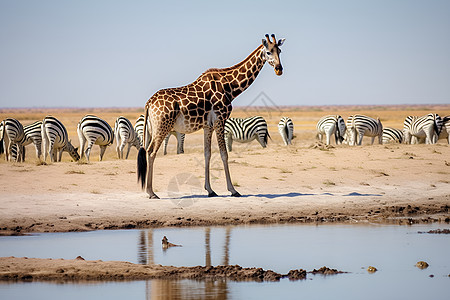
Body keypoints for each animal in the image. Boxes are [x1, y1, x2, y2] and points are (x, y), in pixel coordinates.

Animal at [137, 34, 284, 199]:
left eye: (279, 51)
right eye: (268, 52)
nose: (279, 69)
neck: (230, 87)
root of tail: (149, 103)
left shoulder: (208, 126)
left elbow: (207, 154)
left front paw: (210, 190)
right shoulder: (220, 120)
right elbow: (224, 154)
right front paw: (233, 190)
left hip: (151, 129)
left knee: (147, 151)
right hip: (162, 127)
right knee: (151, 152)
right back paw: (151, 192)